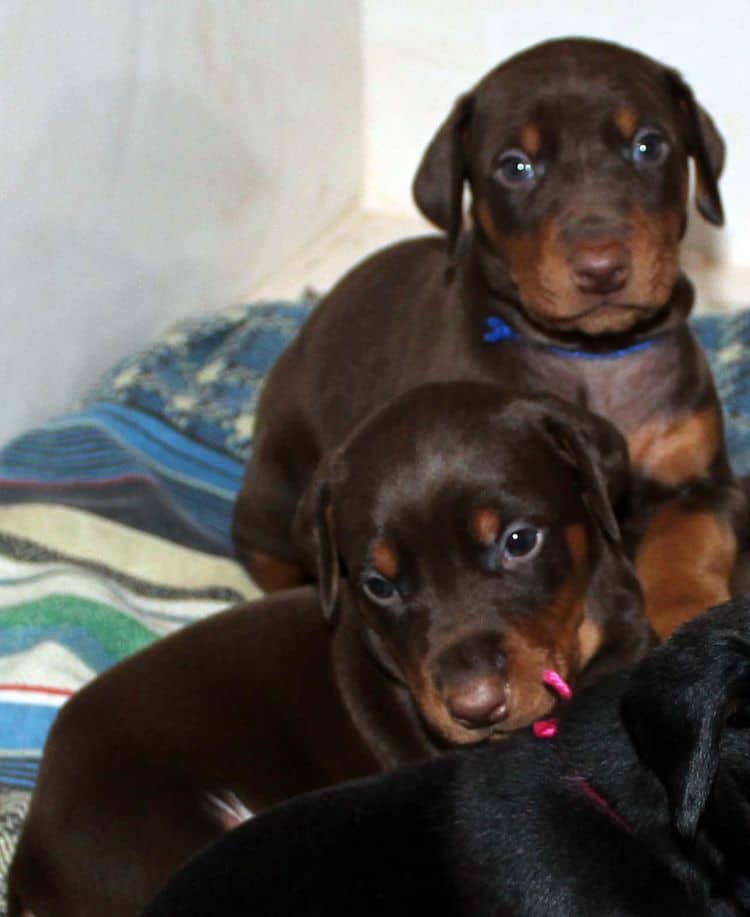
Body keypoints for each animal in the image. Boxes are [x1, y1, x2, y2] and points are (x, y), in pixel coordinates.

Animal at [235, 35, 748, 636]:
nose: (602, 269)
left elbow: (688, 540)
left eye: (648, 146)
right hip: (278, 488)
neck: (591, 356)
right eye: (515, 167)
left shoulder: (702, 482)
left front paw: (687, 608)